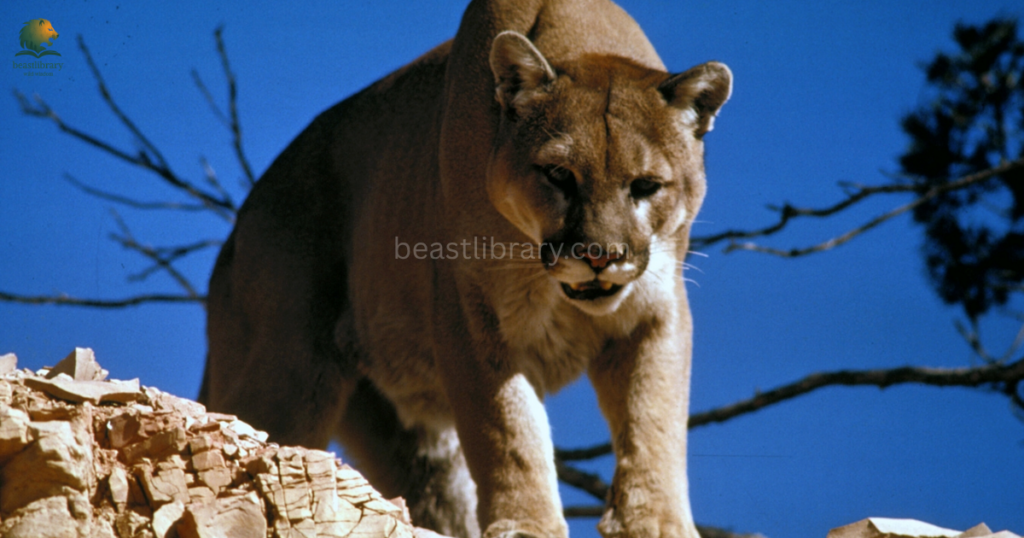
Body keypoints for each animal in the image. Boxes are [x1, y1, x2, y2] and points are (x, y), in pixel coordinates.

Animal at [201, 1, 732, 537]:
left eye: (645, 185)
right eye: (559, 175)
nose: (600, 255)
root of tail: (239, 227)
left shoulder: (656, 311)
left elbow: (654, 421)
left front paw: (655, 522)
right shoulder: (473, 316)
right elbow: (508, 430)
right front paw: (528, 523)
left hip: (407, 437)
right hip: (288, 374)